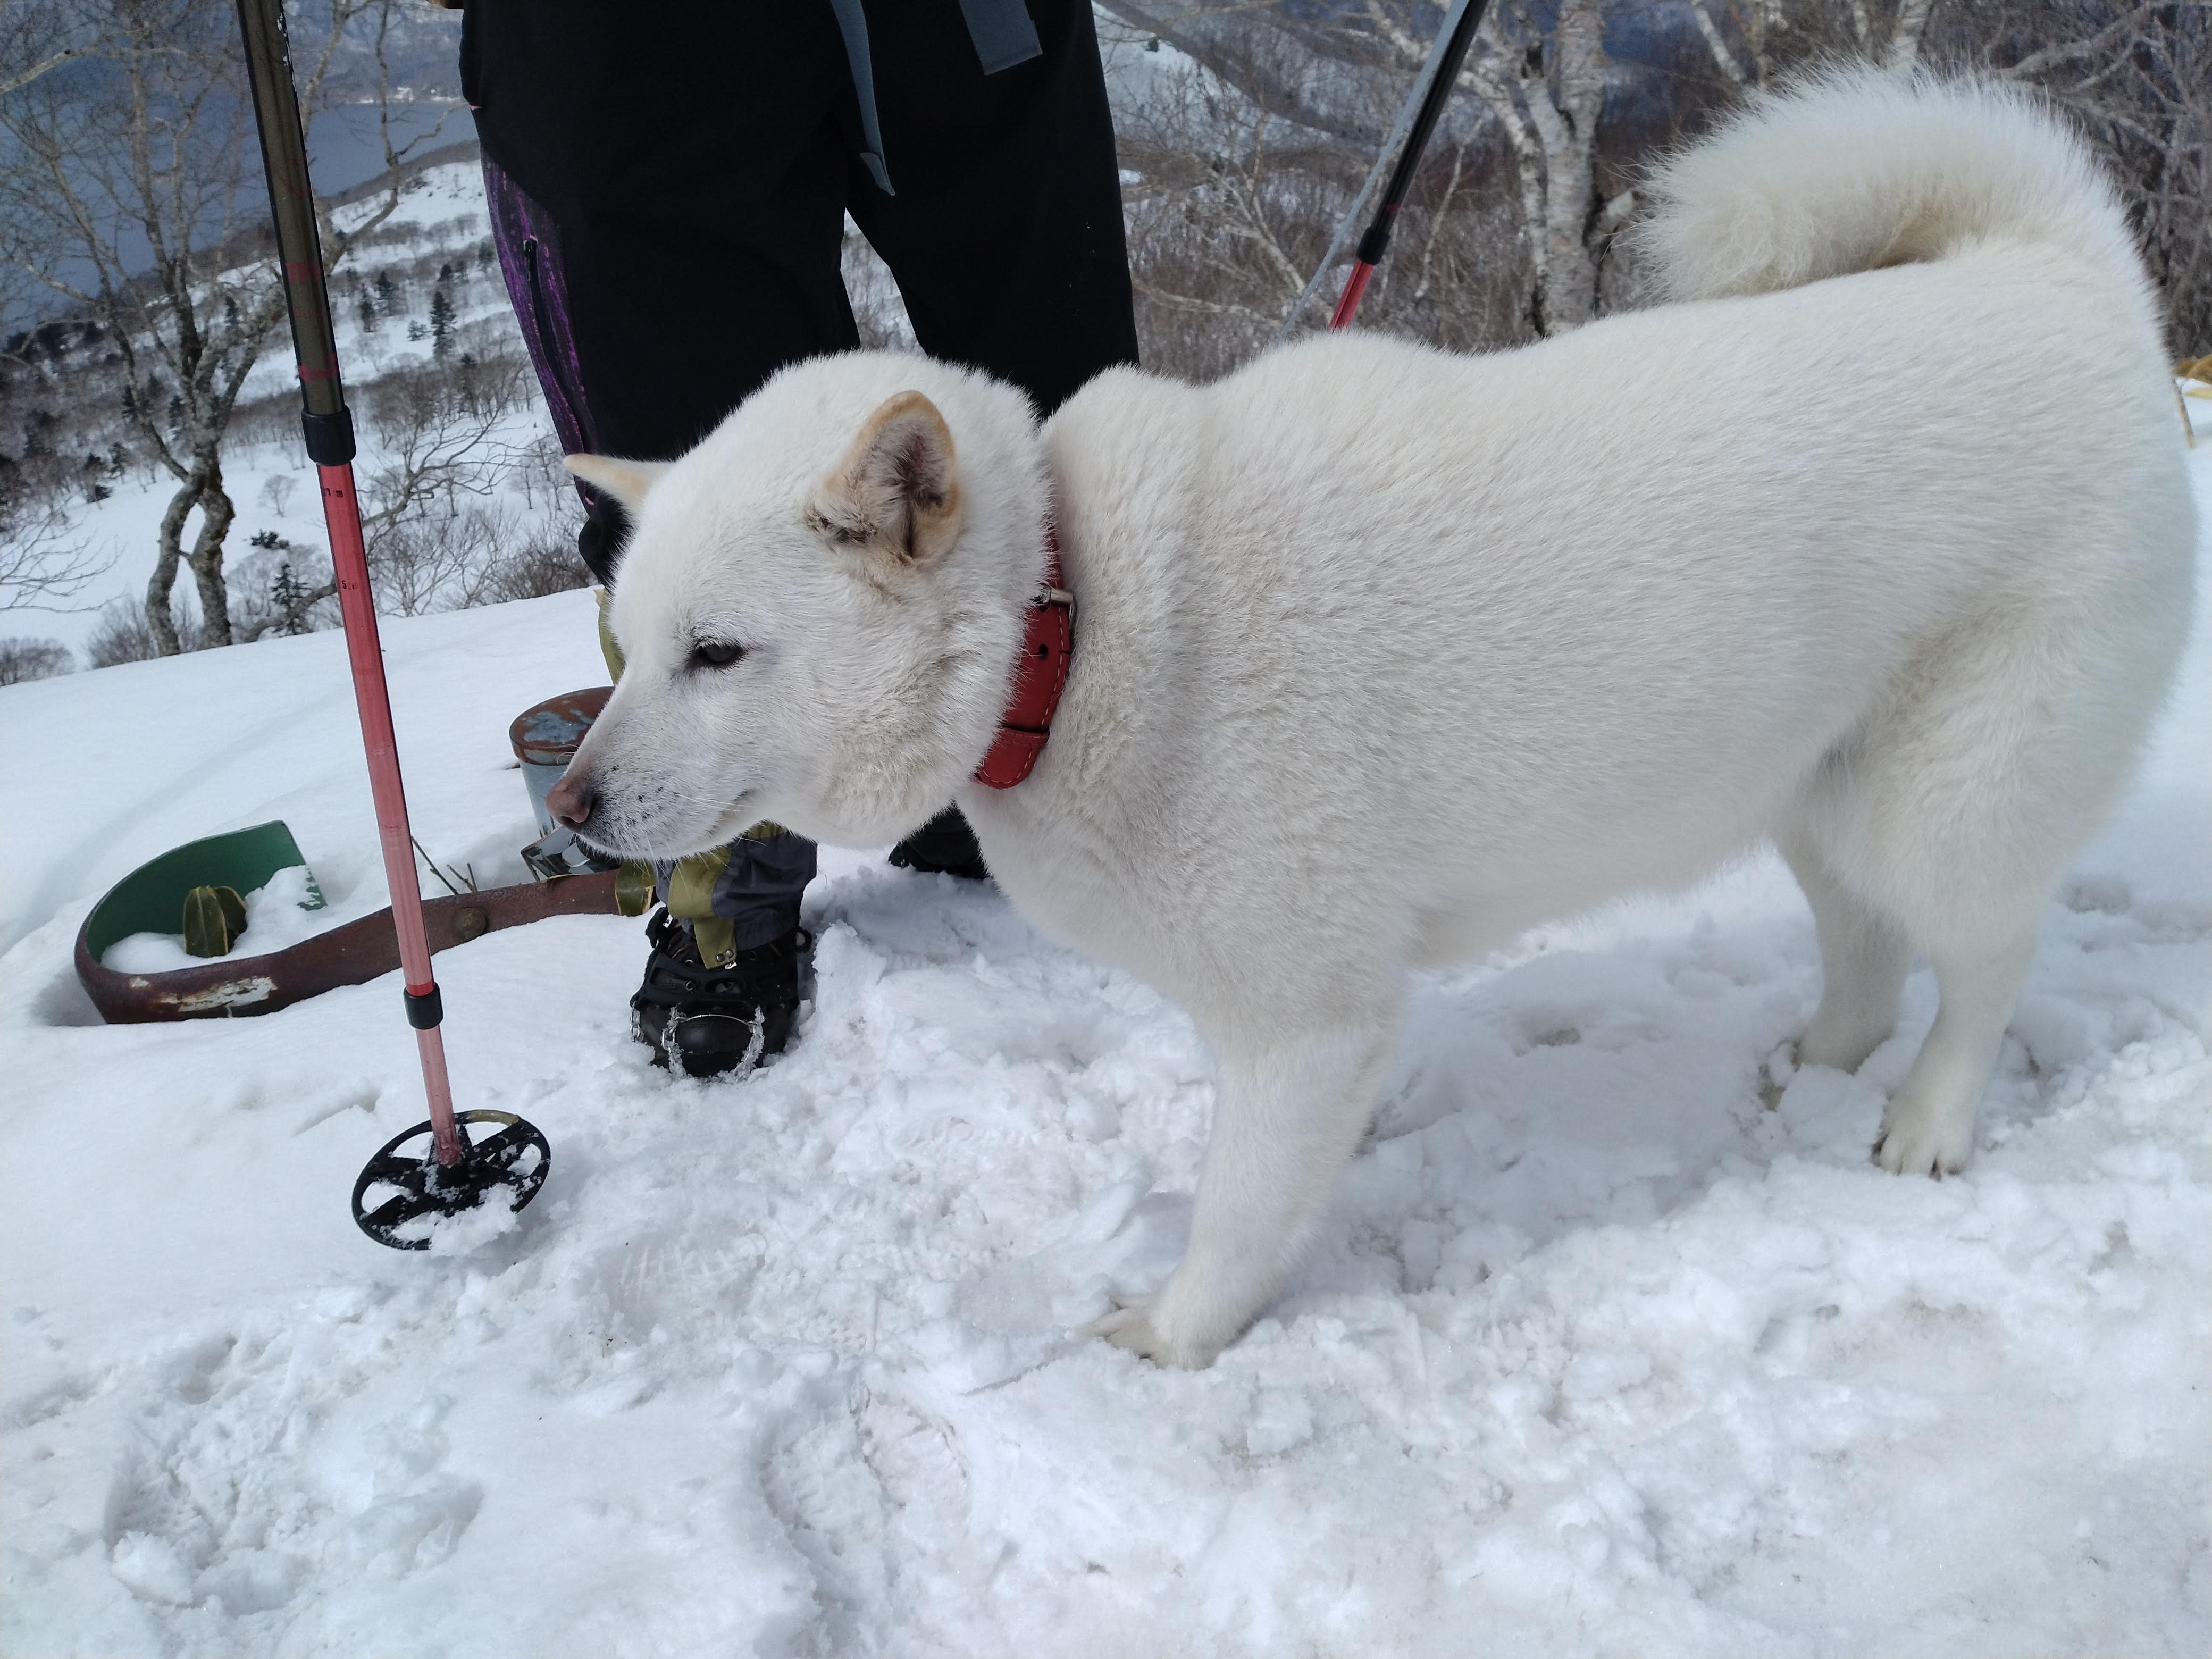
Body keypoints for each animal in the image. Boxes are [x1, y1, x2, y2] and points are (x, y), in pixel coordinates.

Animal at [557, 74, 2194, 1362]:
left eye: (718, 653)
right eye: (627, 646)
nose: (564, 810)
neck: (1075, 620)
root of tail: (2056, 274)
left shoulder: (1305, 1020)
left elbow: (1237, 1212)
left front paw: (1172, 1338)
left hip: (1949, 794)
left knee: (1984, 958)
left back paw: (1926, 1123)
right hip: (1808, 777)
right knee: (1865, 943)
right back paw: (1820, 1064)